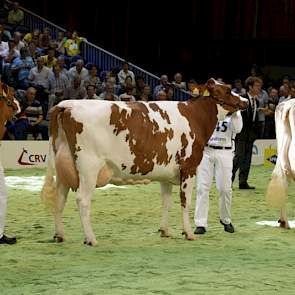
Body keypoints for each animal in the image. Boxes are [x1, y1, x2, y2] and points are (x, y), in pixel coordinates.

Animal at [41, 79, 250, 247]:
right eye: (228, 89)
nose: (246, 100)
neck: (194, 116)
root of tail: (66, 104)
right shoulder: (189, 167)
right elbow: (185, 201)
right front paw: (189, 233)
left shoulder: (167, 172)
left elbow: (166, 201)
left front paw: (165, 230)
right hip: (88, 167)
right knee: (82, 200)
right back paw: (90, 239)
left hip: (63, 168)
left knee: (59, 200)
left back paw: (60, 235)